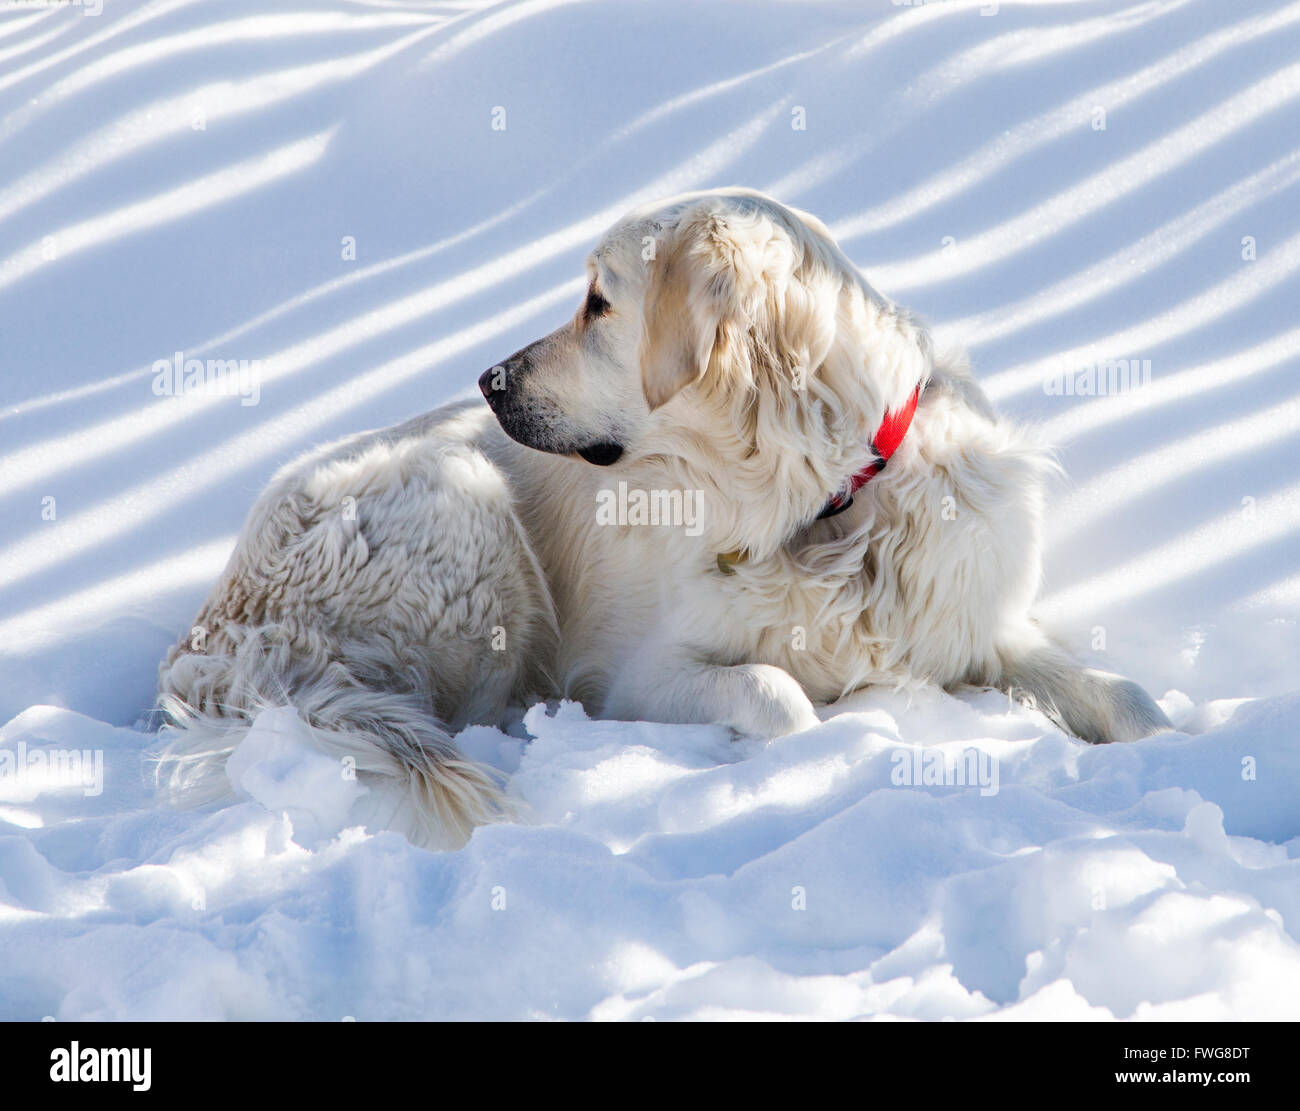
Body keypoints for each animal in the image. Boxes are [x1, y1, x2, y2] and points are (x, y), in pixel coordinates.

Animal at [157, 191, 1175, 847]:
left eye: (598, 302)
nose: (488, 380)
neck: (824, 503)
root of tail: (211, 635)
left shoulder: (974, 619)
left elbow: (1126, 695)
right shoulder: (641, 673)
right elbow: (778, 693)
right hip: (468, 516)